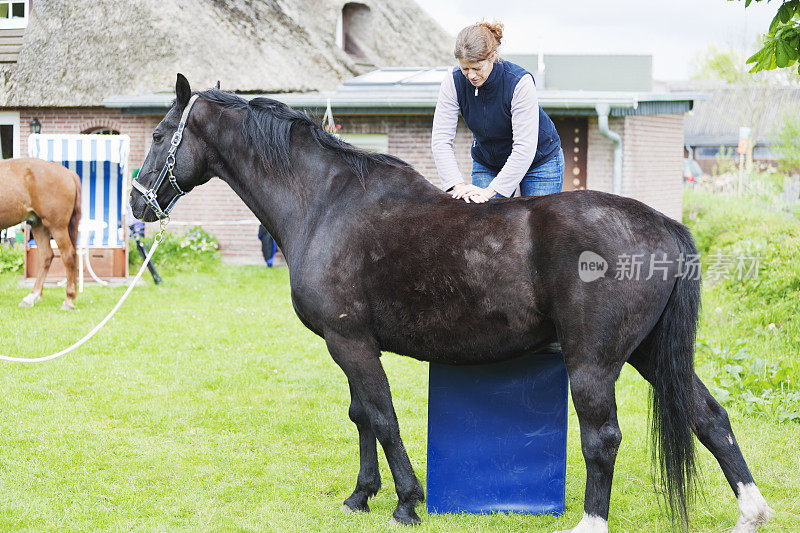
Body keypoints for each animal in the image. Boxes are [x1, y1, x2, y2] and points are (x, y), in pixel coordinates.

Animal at [0, 157, 81, 308]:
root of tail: (69, 173)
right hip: (39, 225)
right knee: (46, 256)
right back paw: (31, 296)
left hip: (57, 227)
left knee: (68, 255)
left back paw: (68, 299)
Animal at [130, 76, 768, 532]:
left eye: (160, 134)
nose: (137, 203)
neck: (327, 203)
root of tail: (663, 225)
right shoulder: (349, 345)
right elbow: (361, 415)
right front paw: (361, 495)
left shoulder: (351, 343)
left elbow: (382, 416)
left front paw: (406, 503)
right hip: (654, 355)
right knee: (710, 417)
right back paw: (752, 511)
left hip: (595, 363)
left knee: (603, 437)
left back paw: (590, 522)